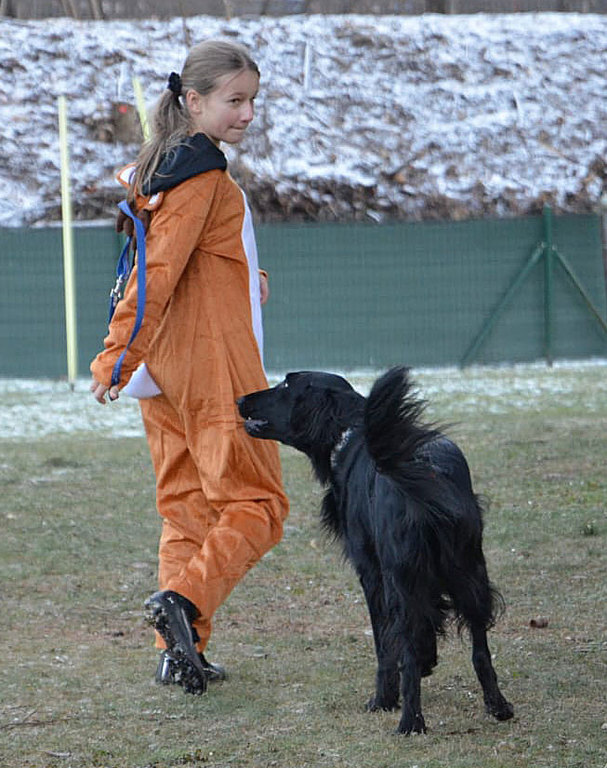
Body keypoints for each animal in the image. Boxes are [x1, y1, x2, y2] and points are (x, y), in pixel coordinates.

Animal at [237, 367, 513, 734]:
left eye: (285, 383)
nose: (240, 399)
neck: (348, 433)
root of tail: (425, 469)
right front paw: (429, 661)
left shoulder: (371, 572)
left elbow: (386, 644)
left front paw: (384, 698)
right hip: (469, 572)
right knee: (480, 649)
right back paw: (497, 706)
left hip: (402, 578)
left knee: (405, 645)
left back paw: (410, 721)